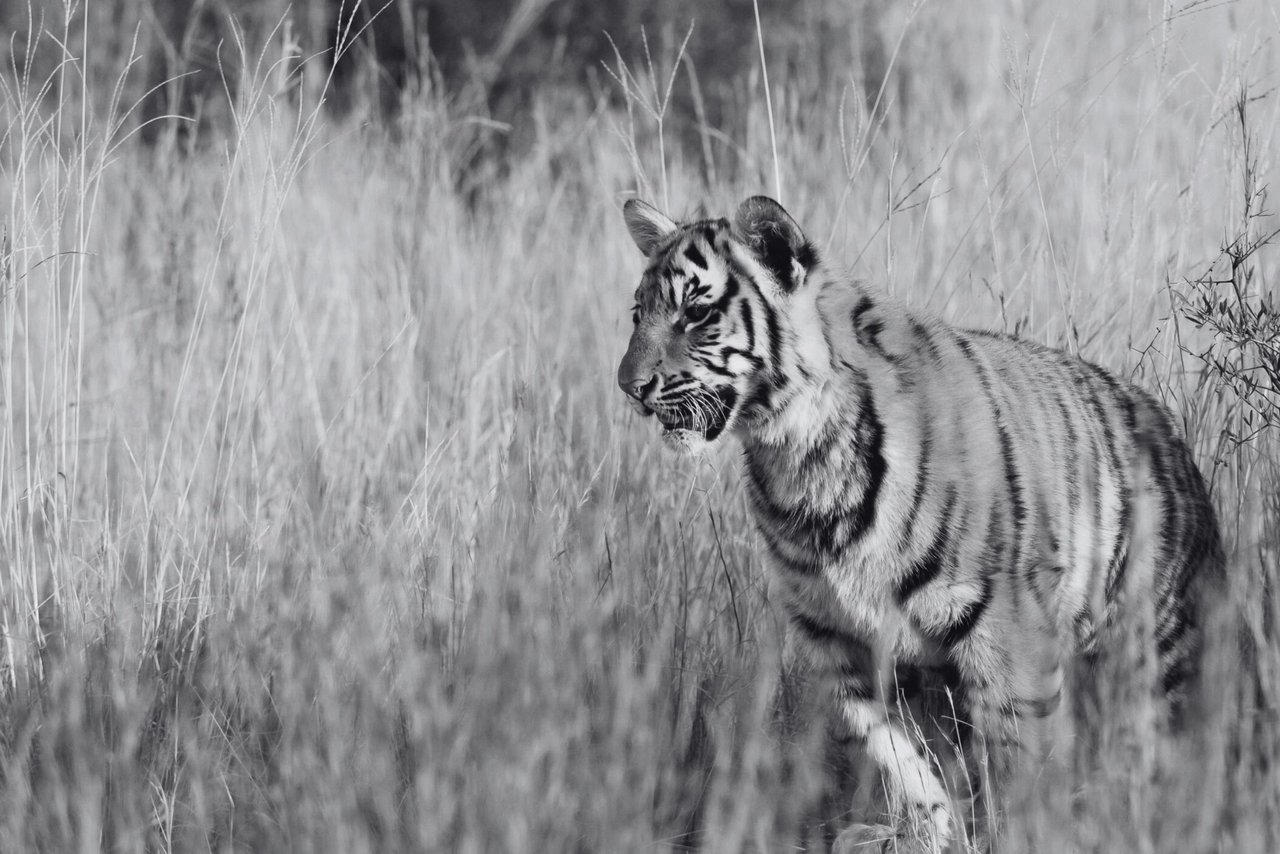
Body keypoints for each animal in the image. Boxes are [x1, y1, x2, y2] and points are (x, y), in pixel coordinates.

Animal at [614, 195, 1223, 850]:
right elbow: (900, 761)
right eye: (638, 313)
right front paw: (927, 833)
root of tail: (1166, 428)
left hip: (1157, 648)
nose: (629, 387)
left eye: (697, 313)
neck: (794, 456)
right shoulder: (841, 639)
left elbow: (1020, 765)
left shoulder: (1008, 632)